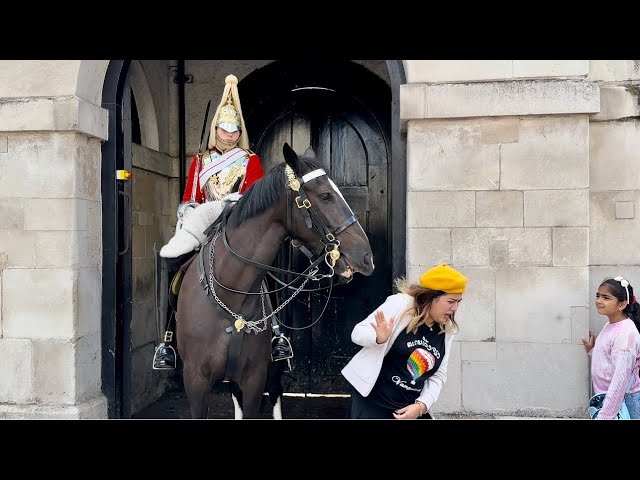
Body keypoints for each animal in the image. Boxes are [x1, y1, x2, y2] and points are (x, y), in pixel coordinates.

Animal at [176, 142, 376, 416]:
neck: (231, 295)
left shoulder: (254, 376)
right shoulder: (195, 380)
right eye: (326, 195)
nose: (366, 257)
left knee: (275, 392)